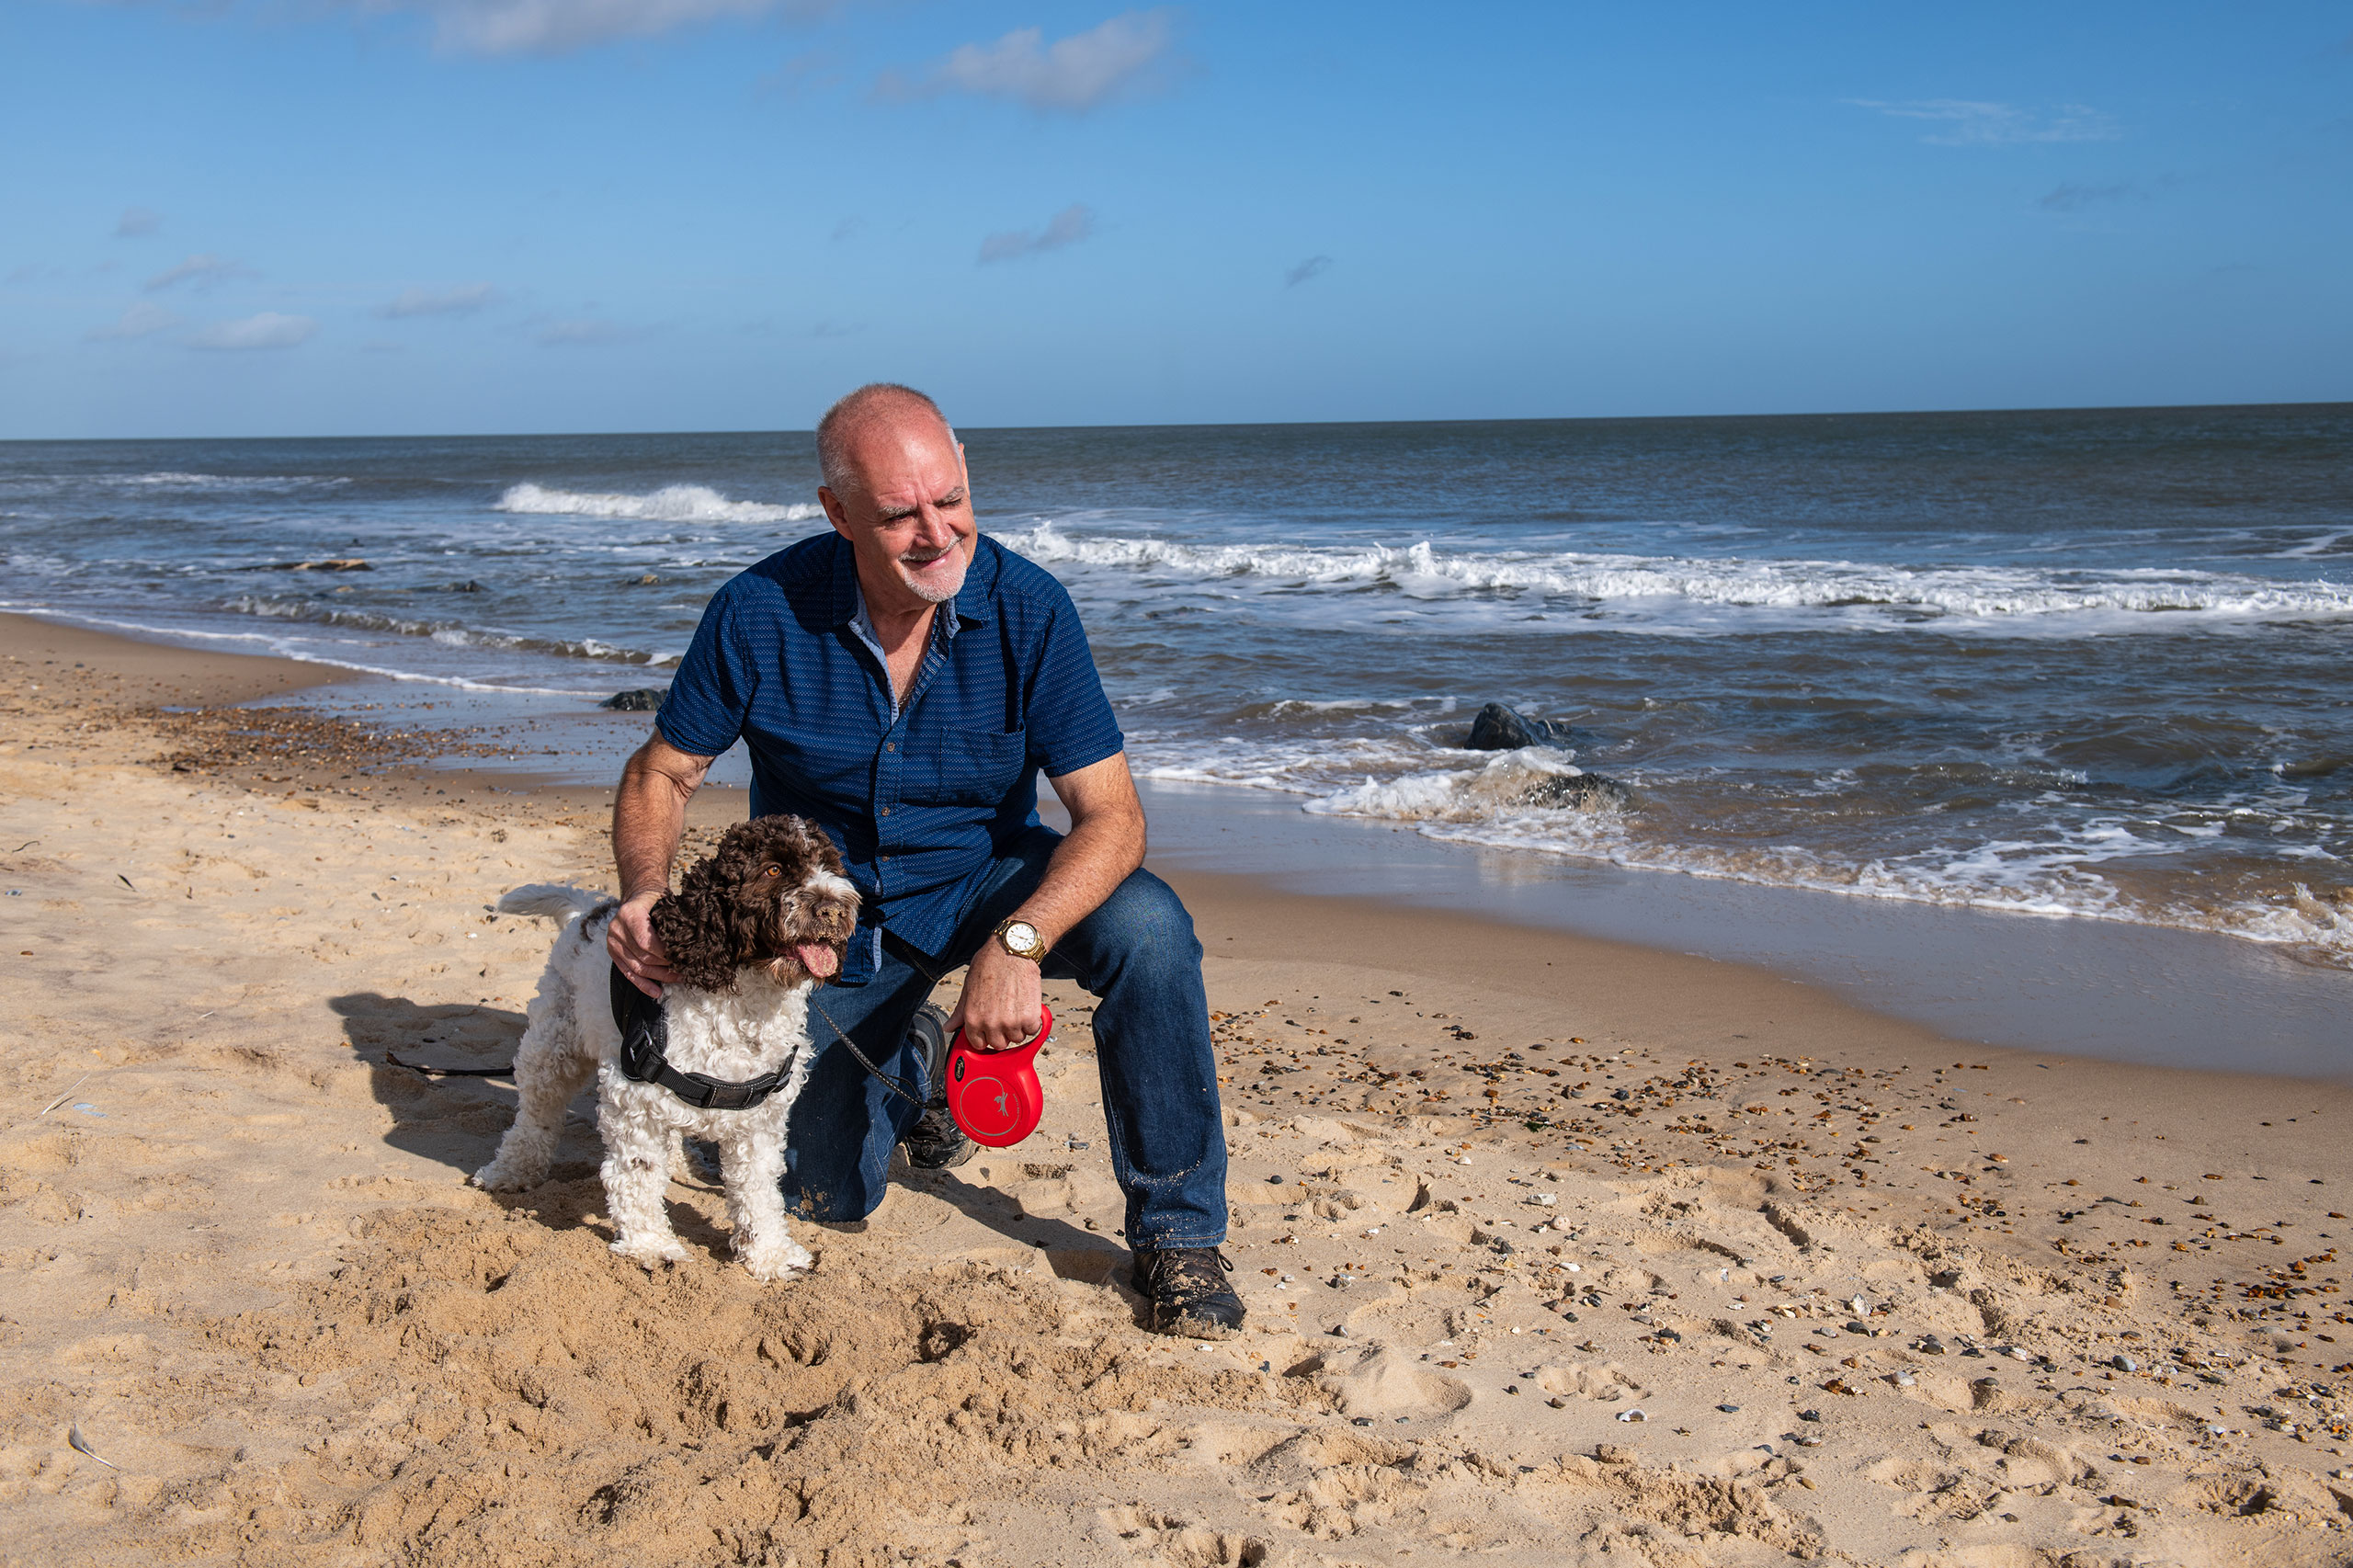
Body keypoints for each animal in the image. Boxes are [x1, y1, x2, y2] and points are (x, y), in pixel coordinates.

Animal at [472, 810, 860, 1280]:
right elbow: (637, 1178)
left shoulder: (759, 1121)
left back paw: (681, 1161)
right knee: (534, 1118)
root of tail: (588, 912)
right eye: (773, 870)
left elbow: (758, 1191)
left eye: (830, 867)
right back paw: (509, 1171)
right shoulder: (633, 1100)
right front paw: (650, 1245)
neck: (743, 999)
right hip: (553, 1045)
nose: (835, 907)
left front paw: (770, 1253)